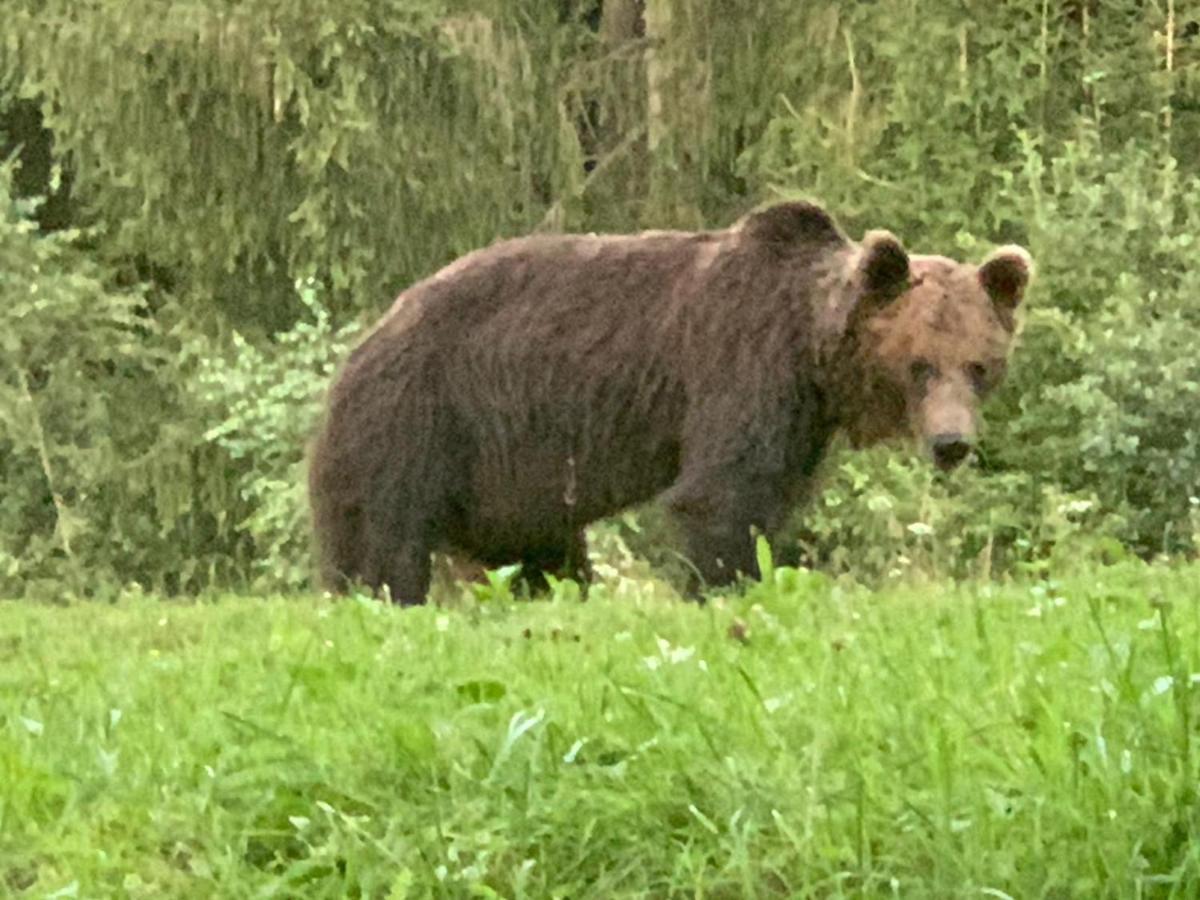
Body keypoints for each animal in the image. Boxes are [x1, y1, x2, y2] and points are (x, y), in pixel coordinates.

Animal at [309, 199, 1032, 607]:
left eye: (980, 365)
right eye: (919, 364)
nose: (951, 443)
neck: (813, 348)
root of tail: (365, 341)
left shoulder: (801, 421)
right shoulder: (742, 367)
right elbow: (721, 496)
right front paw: (722, 589)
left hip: (512, 485)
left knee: (545, 558)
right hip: (413, 426)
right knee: (380, 549)